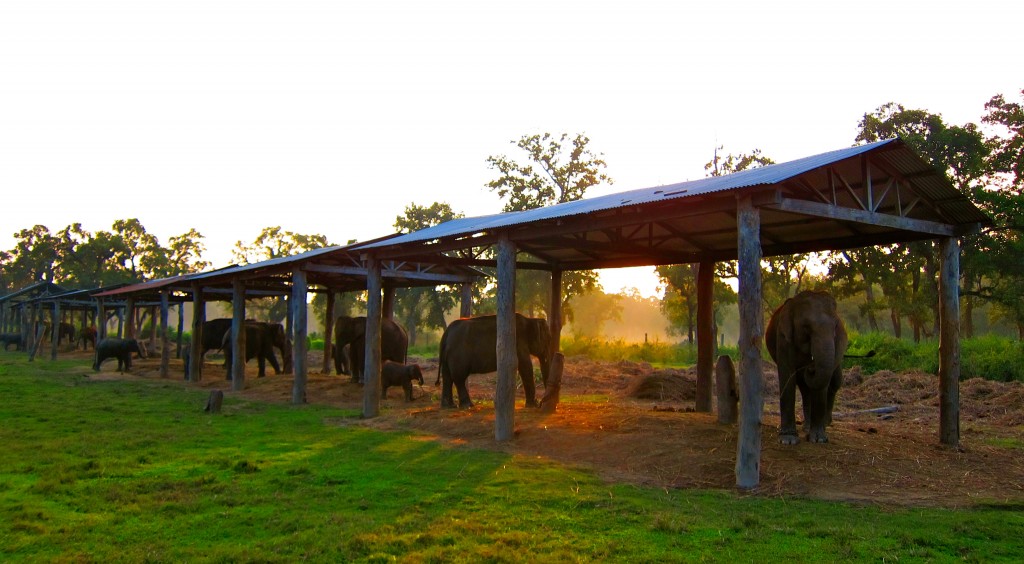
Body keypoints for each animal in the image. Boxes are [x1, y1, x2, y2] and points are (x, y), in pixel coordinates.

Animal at [770, 290, 847, 446]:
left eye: (836, 326)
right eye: (806, 326)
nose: (811, 367)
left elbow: (822, 382)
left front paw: (819, 439)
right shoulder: (783, 337)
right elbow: (787, 374)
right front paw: (788, 440)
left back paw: (816, 426)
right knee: (804, 388)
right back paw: (806, 427)